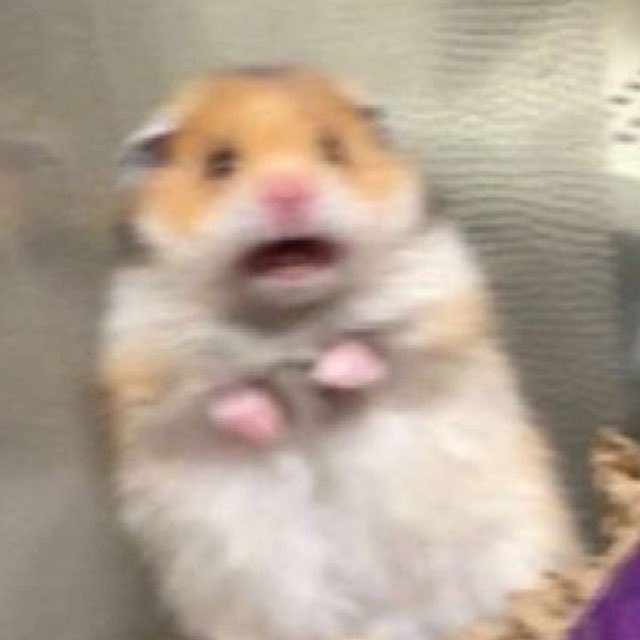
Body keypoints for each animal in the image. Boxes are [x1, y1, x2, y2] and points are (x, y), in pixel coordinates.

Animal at [100, 67, 578, 640]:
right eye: (220, 164)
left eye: (333, 151)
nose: (289, 192)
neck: (290, 319)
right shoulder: (147, 377)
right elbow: (223, 397)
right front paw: (270, 423)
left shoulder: (441, 316)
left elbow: (373, 351)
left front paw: (329, 374)